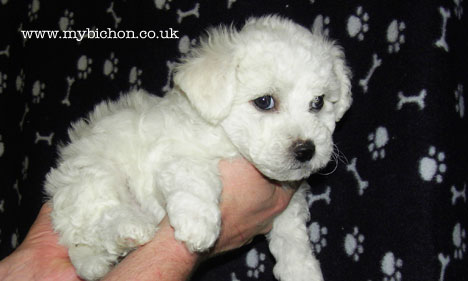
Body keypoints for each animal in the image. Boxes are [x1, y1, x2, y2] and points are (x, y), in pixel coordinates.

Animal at [44, 15, 352, 280]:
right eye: (265, 101)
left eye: (318, 102)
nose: (306, 150)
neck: (225, 137)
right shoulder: (170, 155)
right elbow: (193, 177)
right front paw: (198, 223)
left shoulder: (290, 201)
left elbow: (292, 235)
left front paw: (302, 270)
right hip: (93, 175)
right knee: (93, 219)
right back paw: (128, 228)